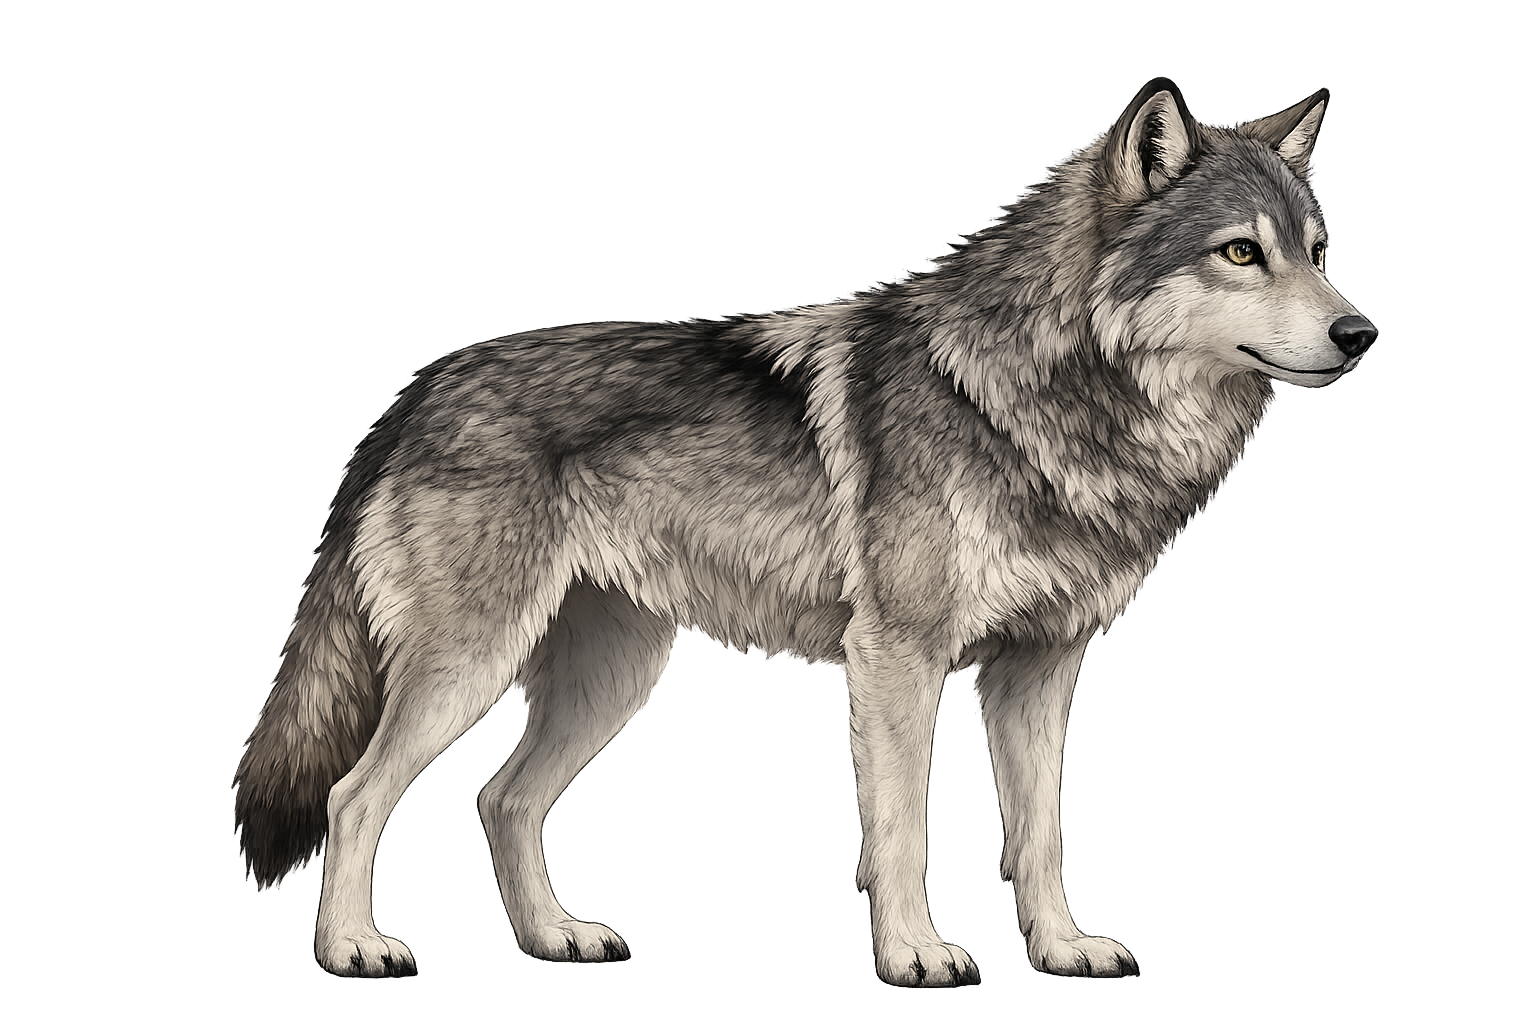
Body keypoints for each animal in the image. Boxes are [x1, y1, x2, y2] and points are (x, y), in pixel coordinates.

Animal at [231, 77, 1374, 987]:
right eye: (1241, 253)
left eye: (1319, 255)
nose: (1361, 332)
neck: (1039, 399)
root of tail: (416, 389)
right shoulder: (899, 660)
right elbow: (904, 828)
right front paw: (916, 955)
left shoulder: (1041, 667)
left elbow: (1040, 834)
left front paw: (1062, 949)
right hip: (473, 667)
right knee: (353, 794)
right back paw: (354, 949)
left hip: (613, 677)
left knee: (504, 800)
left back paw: (557, 938)